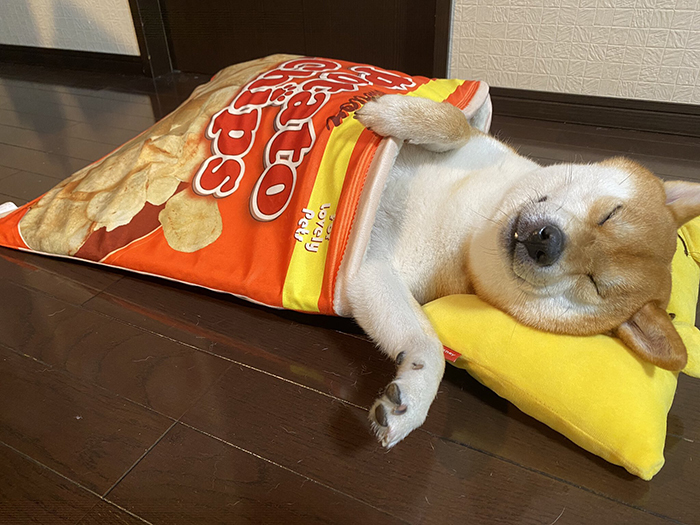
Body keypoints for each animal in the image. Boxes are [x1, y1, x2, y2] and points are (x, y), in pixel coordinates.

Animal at [352, 93, 700, 446]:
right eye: (610, 215)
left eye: (593, 284)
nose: (546, 244)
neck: (475, 224)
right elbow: (457, 124)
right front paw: (390, 111)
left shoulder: (368, 272)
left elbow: (427, 345)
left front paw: (413, 396)